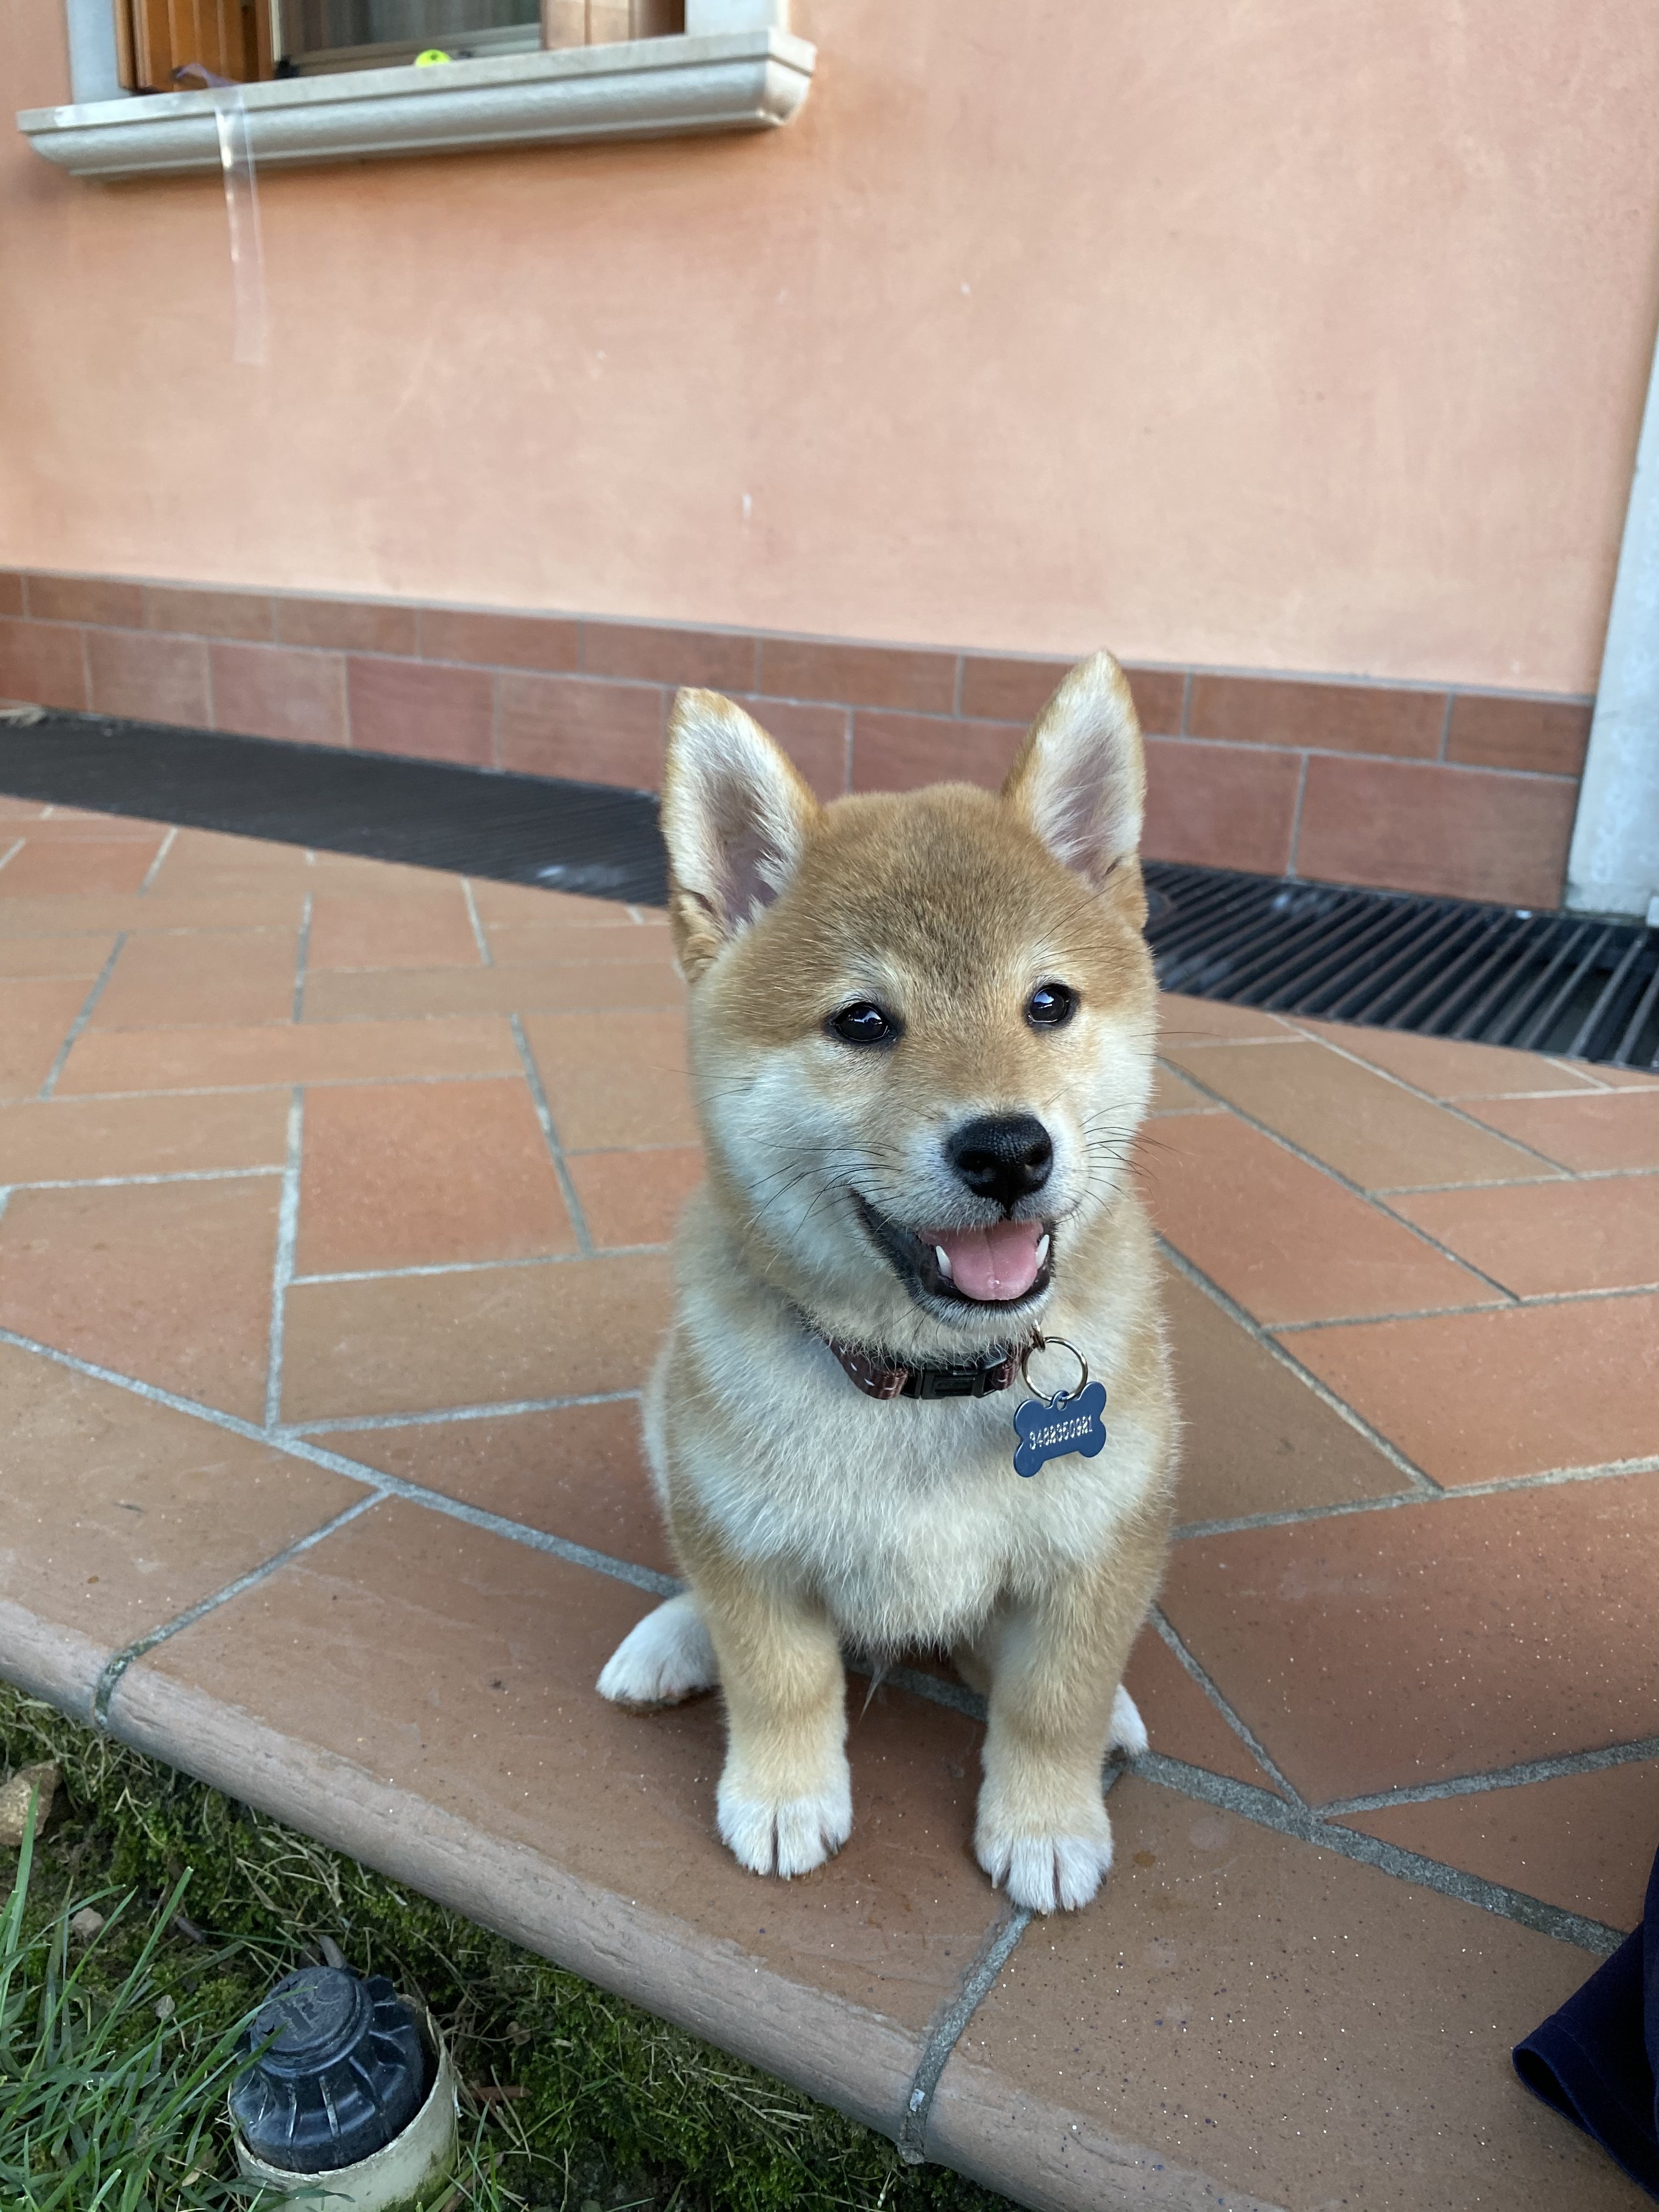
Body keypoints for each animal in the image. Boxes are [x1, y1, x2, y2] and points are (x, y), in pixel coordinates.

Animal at [606, 646, 1177, 1911]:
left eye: (1048, 1002)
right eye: (863, 1021)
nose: (1008, 1149)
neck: (926, 1384)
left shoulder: (1102, 1542)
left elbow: (1051, 1699)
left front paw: (1047, 1819)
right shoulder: (749, 1544)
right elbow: (779, 1678)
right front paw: (781, 1796)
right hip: (666, 1424)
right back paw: (670, 1640)